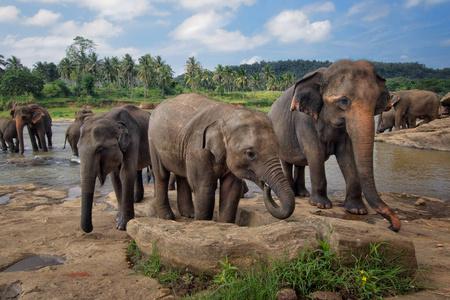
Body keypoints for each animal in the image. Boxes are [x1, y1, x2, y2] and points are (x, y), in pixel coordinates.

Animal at [148, 94, 296, 223]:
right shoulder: (198, 150)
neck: (228, 115)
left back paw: (189, 214)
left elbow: (231, 189)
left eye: (278, 147)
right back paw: (167, 217)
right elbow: (204, 188)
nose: (266, 186)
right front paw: (202, 222)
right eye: (250, 154)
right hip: (152, 141)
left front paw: (224, 223)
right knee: (162, 175)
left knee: (182, 175)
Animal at [268, 59, 400, 232]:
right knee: (287, 162)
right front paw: (321, 205)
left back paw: (303, 194)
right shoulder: (304, 120)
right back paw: (295, 192)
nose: (394, 226)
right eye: (343, 101)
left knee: (301, 164)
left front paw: (357, 210)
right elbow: (314, 152)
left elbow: (347, 154)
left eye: (376, 100)